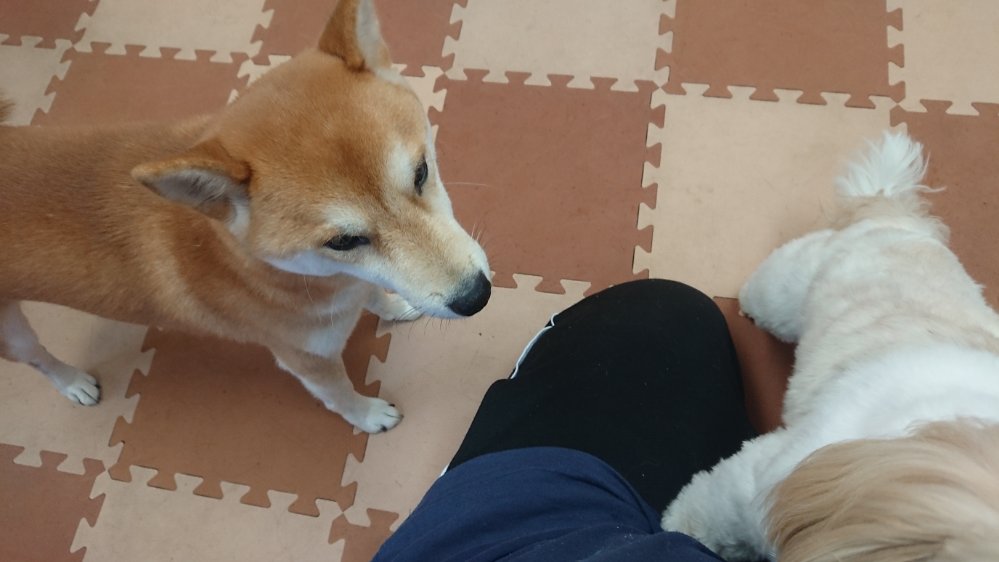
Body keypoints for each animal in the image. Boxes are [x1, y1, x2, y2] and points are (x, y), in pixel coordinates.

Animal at [0, 0, 491, 434]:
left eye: (421, 172)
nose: (476, 296)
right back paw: (73, 383)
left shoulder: (353, 284)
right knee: (37, 358)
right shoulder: (307, 358)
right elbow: (339, 394)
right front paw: (369, 415)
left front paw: (392, 304)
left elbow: (373, 291)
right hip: (12, 335)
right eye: (342, 241)